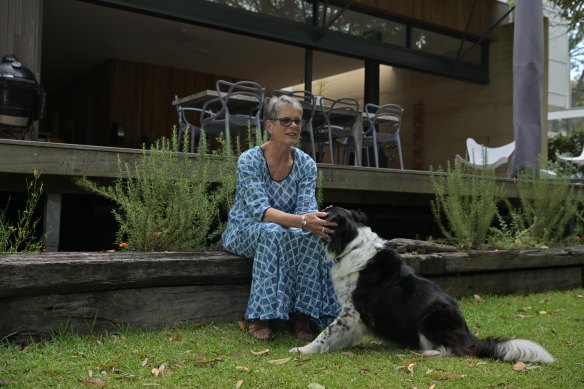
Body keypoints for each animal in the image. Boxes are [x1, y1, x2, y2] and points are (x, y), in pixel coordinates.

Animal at [290, 208, 556, 362]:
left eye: (324, 213)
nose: (310, 213)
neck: (353, 244)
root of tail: (468, 335)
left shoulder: (352, 312)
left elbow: (326, 333)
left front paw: (304, 350)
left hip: (429, 318)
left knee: (455, 351)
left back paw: (428, 352)